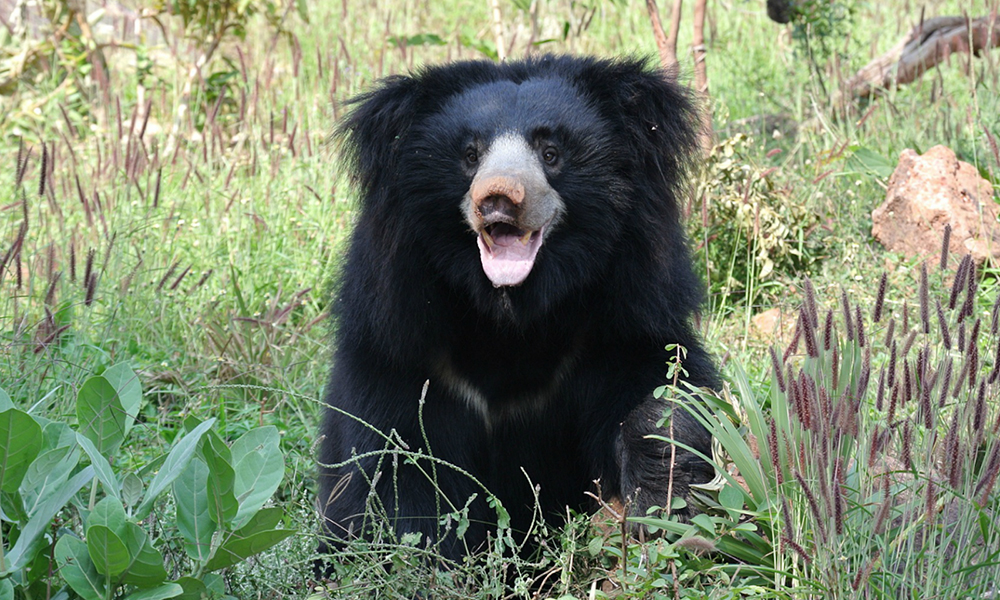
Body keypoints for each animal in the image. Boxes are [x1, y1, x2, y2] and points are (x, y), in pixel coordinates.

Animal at [316, 54, 716, 560]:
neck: (511, 314)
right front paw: (420, 555)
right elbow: (393, 462)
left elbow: (661, 385)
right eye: (470, 155)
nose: (498, 198)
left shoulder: (623, 313)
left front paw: (663, 496)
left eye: (551, 152)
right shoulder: (398, 340)